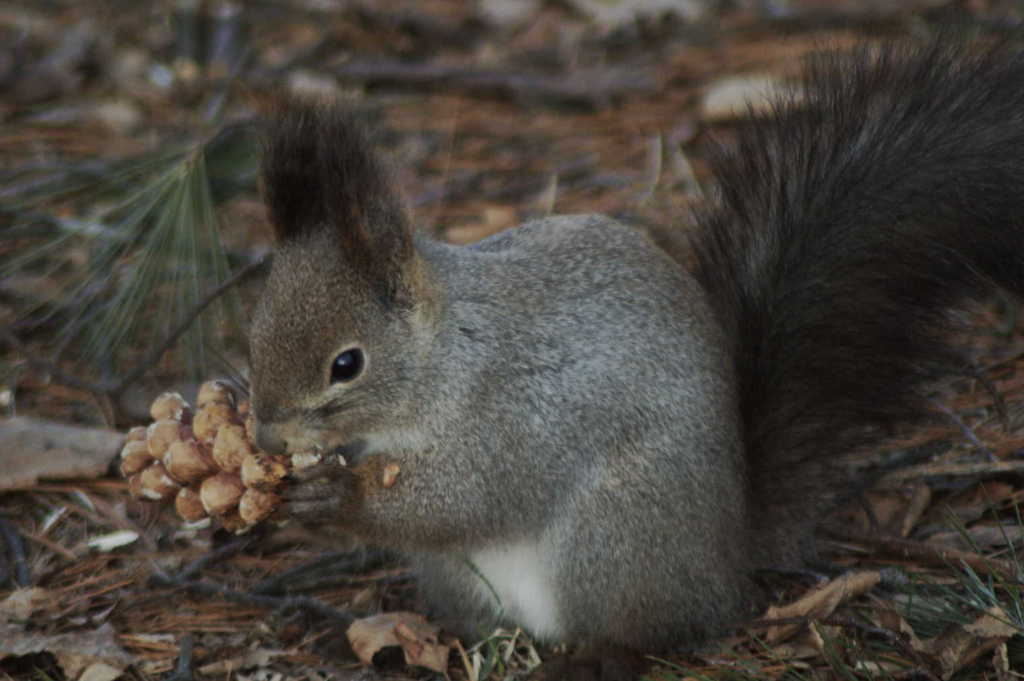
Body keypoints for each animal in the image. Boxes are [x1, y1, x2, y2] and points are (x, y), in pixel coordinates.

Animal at [243, 35, 1024, 659]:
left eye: (347, 364)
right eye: (253, 335)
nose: (267, 435)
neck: (448, 360)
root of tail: (726, 563)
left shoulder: (517, 417)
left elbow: (467, 498)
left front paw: (336, 498)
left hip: (613, 537)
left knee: (648, 634)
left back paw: (593, 657)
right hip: (462, 575)